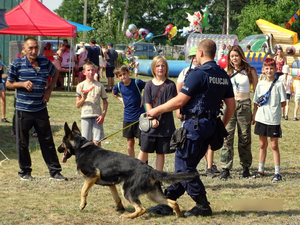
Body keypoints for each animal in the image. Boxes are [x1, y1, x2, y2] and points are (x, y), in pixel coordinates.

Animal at [57, 122, 199, 219]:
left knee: (142, 209)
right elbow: (116, 198)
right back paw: (178, 215)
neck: (81, 146)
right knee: (172, 202)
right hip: (153, 195)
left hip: (127, 190)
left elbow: (83, 191)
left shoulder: (92, 176)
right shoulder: (111, 184)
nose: (58, 149)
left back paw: (128, 216)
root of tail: (150, 169)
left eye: (62, 142)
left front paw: (82, 205)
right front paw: (120, 207)